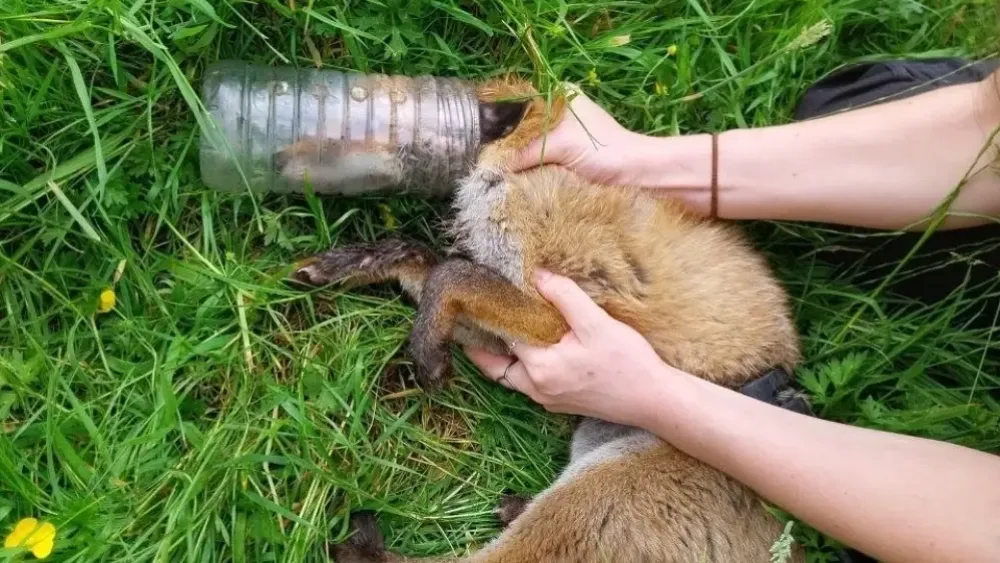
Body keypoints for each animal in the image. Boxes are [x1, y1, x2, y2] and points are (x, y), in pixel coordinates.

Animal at [285, 77, 808, 562]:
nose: (298, 153)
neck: (513, 176)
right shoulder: (501, 324)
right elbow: (419, 261)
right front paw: (349, 265)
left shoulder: (560, 313)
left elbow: (453, 274)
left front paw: (426, 355)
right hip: (595, 442)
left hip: (596, 498)